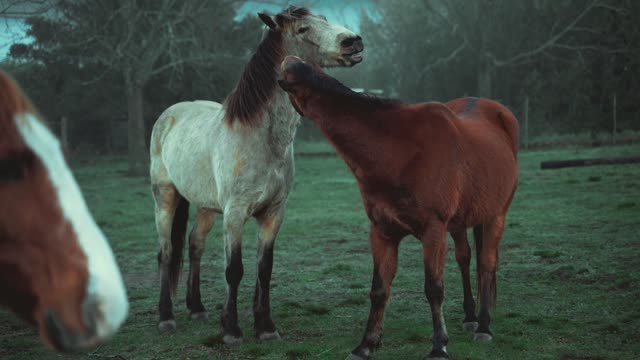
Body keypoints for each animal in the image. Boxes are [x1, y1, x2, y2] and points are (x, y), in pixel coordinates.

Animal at [148, 5, 362, 344]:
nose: (352, 42)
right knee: (167, 252)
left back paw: (197, 309)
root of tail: (170, 114)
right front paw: (232, 330)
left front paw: (265, 327)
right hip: (165, 198)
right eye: (303, 29)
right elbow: (234, 269)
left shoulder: (273, 213)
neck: (260, 137)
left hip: (207, 206)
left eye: (324, 20)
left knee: (195, 245)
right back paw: (166, 317)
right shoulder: (235, 214)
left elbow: (265, 268)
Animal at [278, 57, 516, 360]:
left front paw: (439, 346)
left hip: (497, 215)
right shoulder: (382, 232)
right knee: (465, 259)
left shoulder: (433, 231)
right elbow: (379, 290)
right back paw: (471, 317)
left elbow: (434, 288)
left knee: (486, 263)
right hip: (460, 223)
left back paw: (484, 326)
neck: (400, 150)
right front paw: (366, 345)